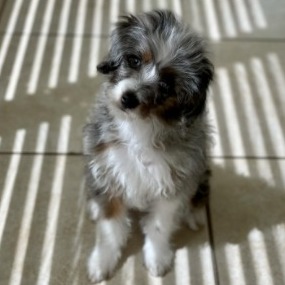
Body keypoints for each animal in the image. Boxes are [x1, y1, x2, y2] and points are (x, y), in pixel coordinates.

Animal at [83, 10, 212, 282]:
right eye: (133, 60)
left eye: (165, 86)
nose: (128, 99)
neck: (140, 126)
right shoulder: (108, 174)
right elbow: (110, 229)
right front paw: (102, 261)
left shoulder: (172, 183)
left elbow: (159, 226)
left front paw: (157, 257)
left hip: (202, 170)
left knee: (200, 190)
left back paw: (194, 214)